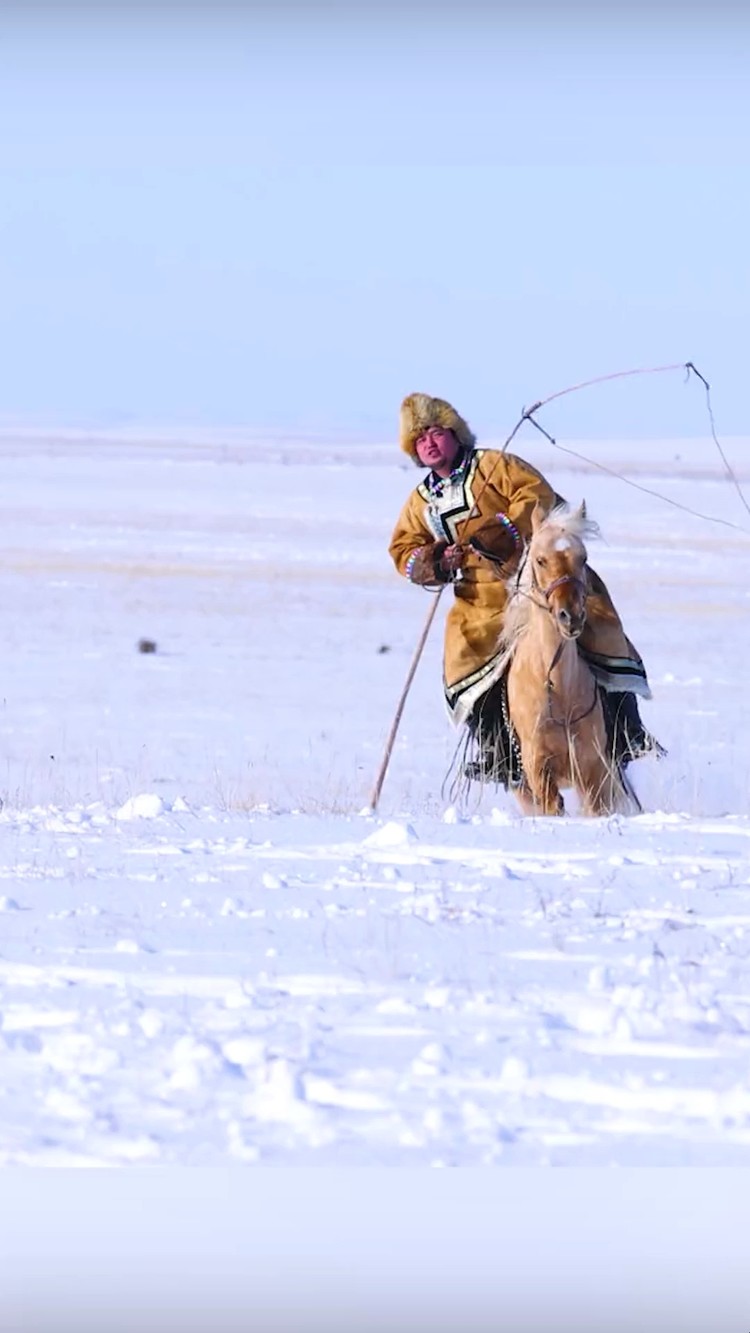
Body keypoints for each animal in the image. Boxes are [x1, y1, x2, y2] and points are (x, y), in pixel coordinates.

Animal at [498, 498, 634, 810]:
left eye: (583, 558)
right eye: (540, 559)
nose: (570, 617)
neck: (557, 688)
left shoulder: (593, 767)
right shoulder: (538, 768)